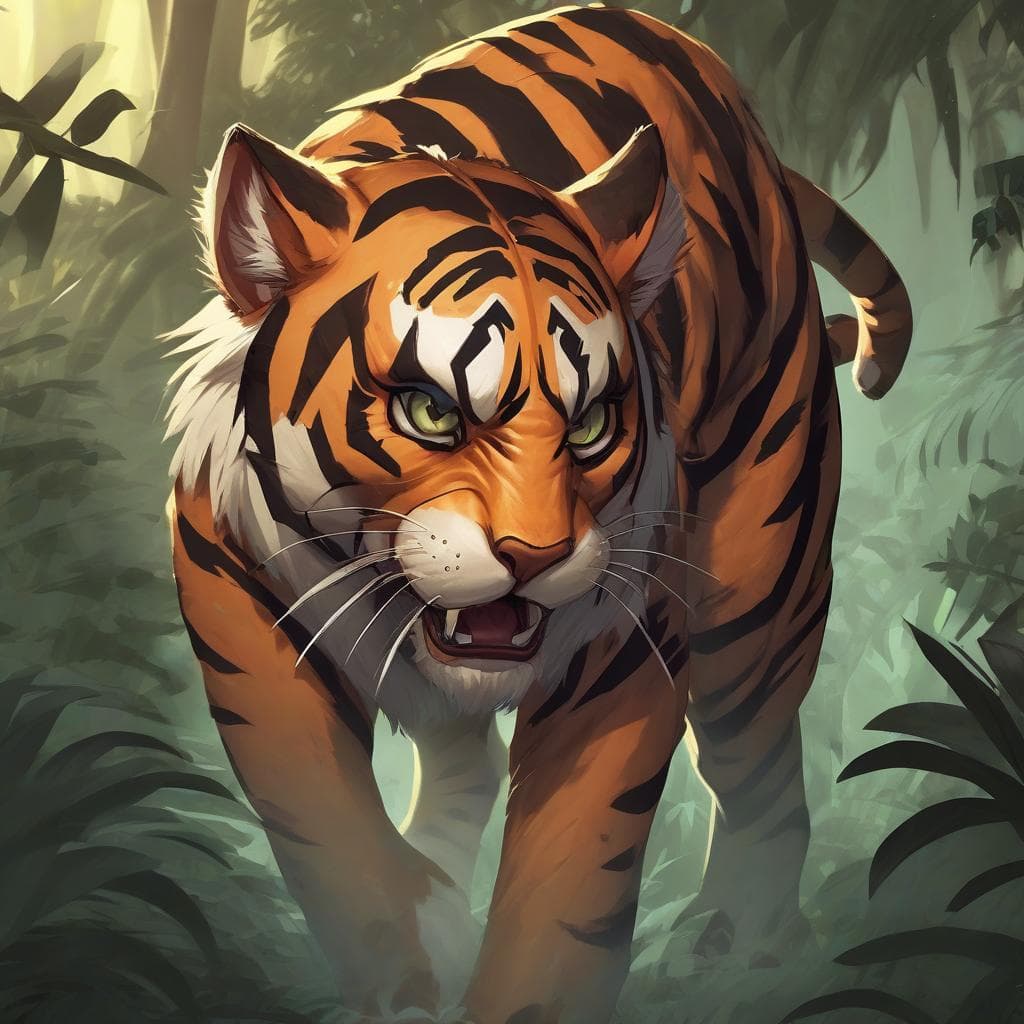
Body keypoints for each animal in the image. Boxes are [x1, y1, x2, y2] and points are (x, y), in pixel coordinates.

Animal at [166, 4, 913, 1022]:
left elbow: (571, 879)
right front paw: (407, 965)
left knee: (755, 765)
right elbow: (330, 831)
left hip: (761, 588)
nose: (535, 552)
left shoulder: (627, 645)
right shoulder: (242, 609)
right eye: (430, 411)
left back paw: (741, 939)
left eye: (591, 423)